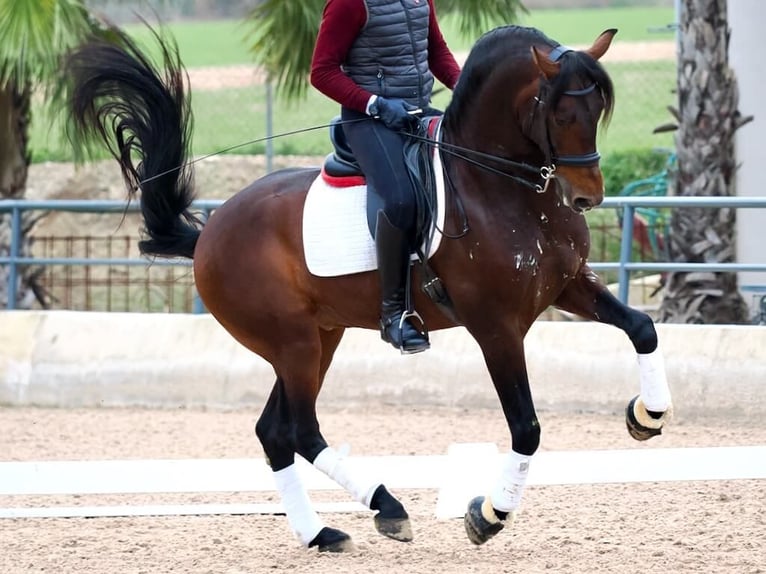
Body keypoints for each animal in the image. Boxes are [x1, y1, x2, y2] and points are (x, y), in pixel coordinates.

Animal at [66, 23, 672, 552]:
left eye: (598, 111)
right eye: (561, 112)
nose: (586, 196)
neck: (502, 187)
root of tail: (210, 230)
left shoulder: (566, 287)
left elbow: (643, 327)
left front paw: (648, 415)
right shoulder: (496, 327)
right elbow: (526, 427)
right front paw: (488, 515)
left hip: (318, 338)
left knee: (274, 432)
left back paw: (321, 534)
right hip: (292, 342)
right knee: (301, 431)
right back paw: (387, 506)